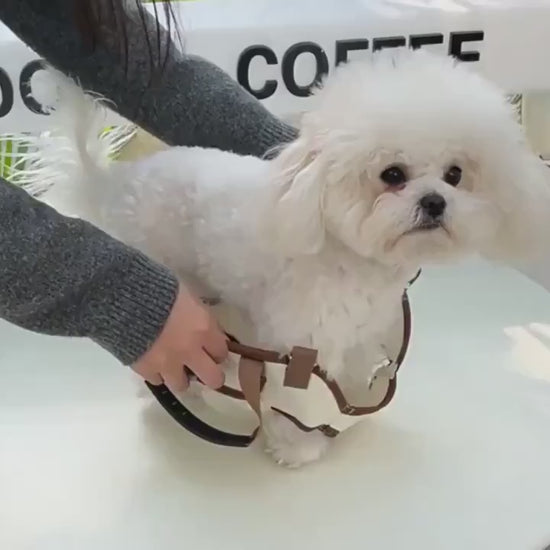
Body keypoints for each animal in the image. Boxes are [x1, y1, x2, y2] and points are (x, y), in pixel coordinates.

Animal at [17, 49, 550, 467]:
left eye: (456, 174)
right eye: (392, 174)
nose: (436, 202)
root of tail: (114, 182)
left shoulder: (359, 335)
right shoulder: (297, 346)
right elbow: (294, 404)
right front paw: (298, 448)